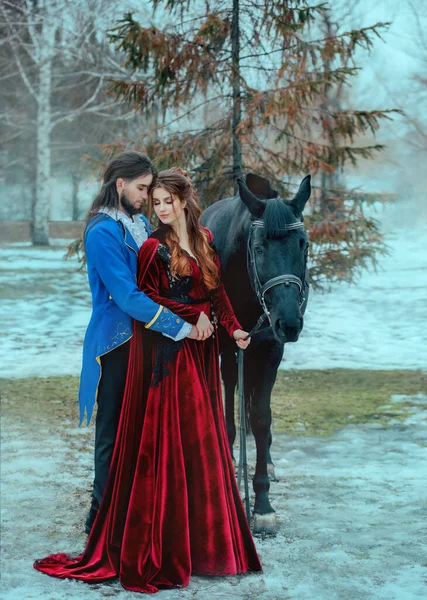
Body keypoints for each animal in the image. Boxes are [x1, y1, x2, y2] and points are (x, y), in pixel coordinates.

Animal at [202, 171, 312, 532]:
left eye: (304, 245)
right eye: (259, 247)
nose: (289, 322)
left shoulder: (270, 349)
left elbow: (261, 418)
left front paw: (262, 504)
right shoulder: (225, 347)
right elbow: (229, 414)